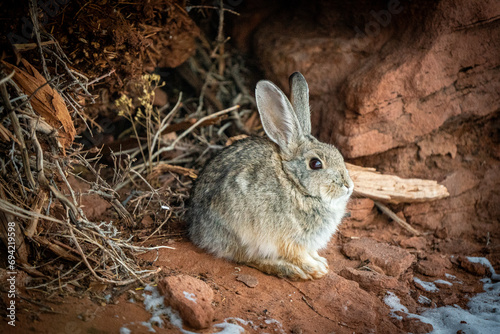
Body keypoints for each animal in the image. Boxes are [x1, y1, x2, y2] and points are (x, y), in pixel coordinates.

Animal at [186, 72, 354, 280]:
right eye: (315, 164)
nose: (348, 186)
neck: (295, 185)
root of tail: (196, 231)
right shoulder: (288, 239)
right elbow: (298, 255)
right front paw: (316, 269)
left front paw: (320, 260)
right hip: (243, 234)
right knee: (248, 259)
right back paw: (288, 269)